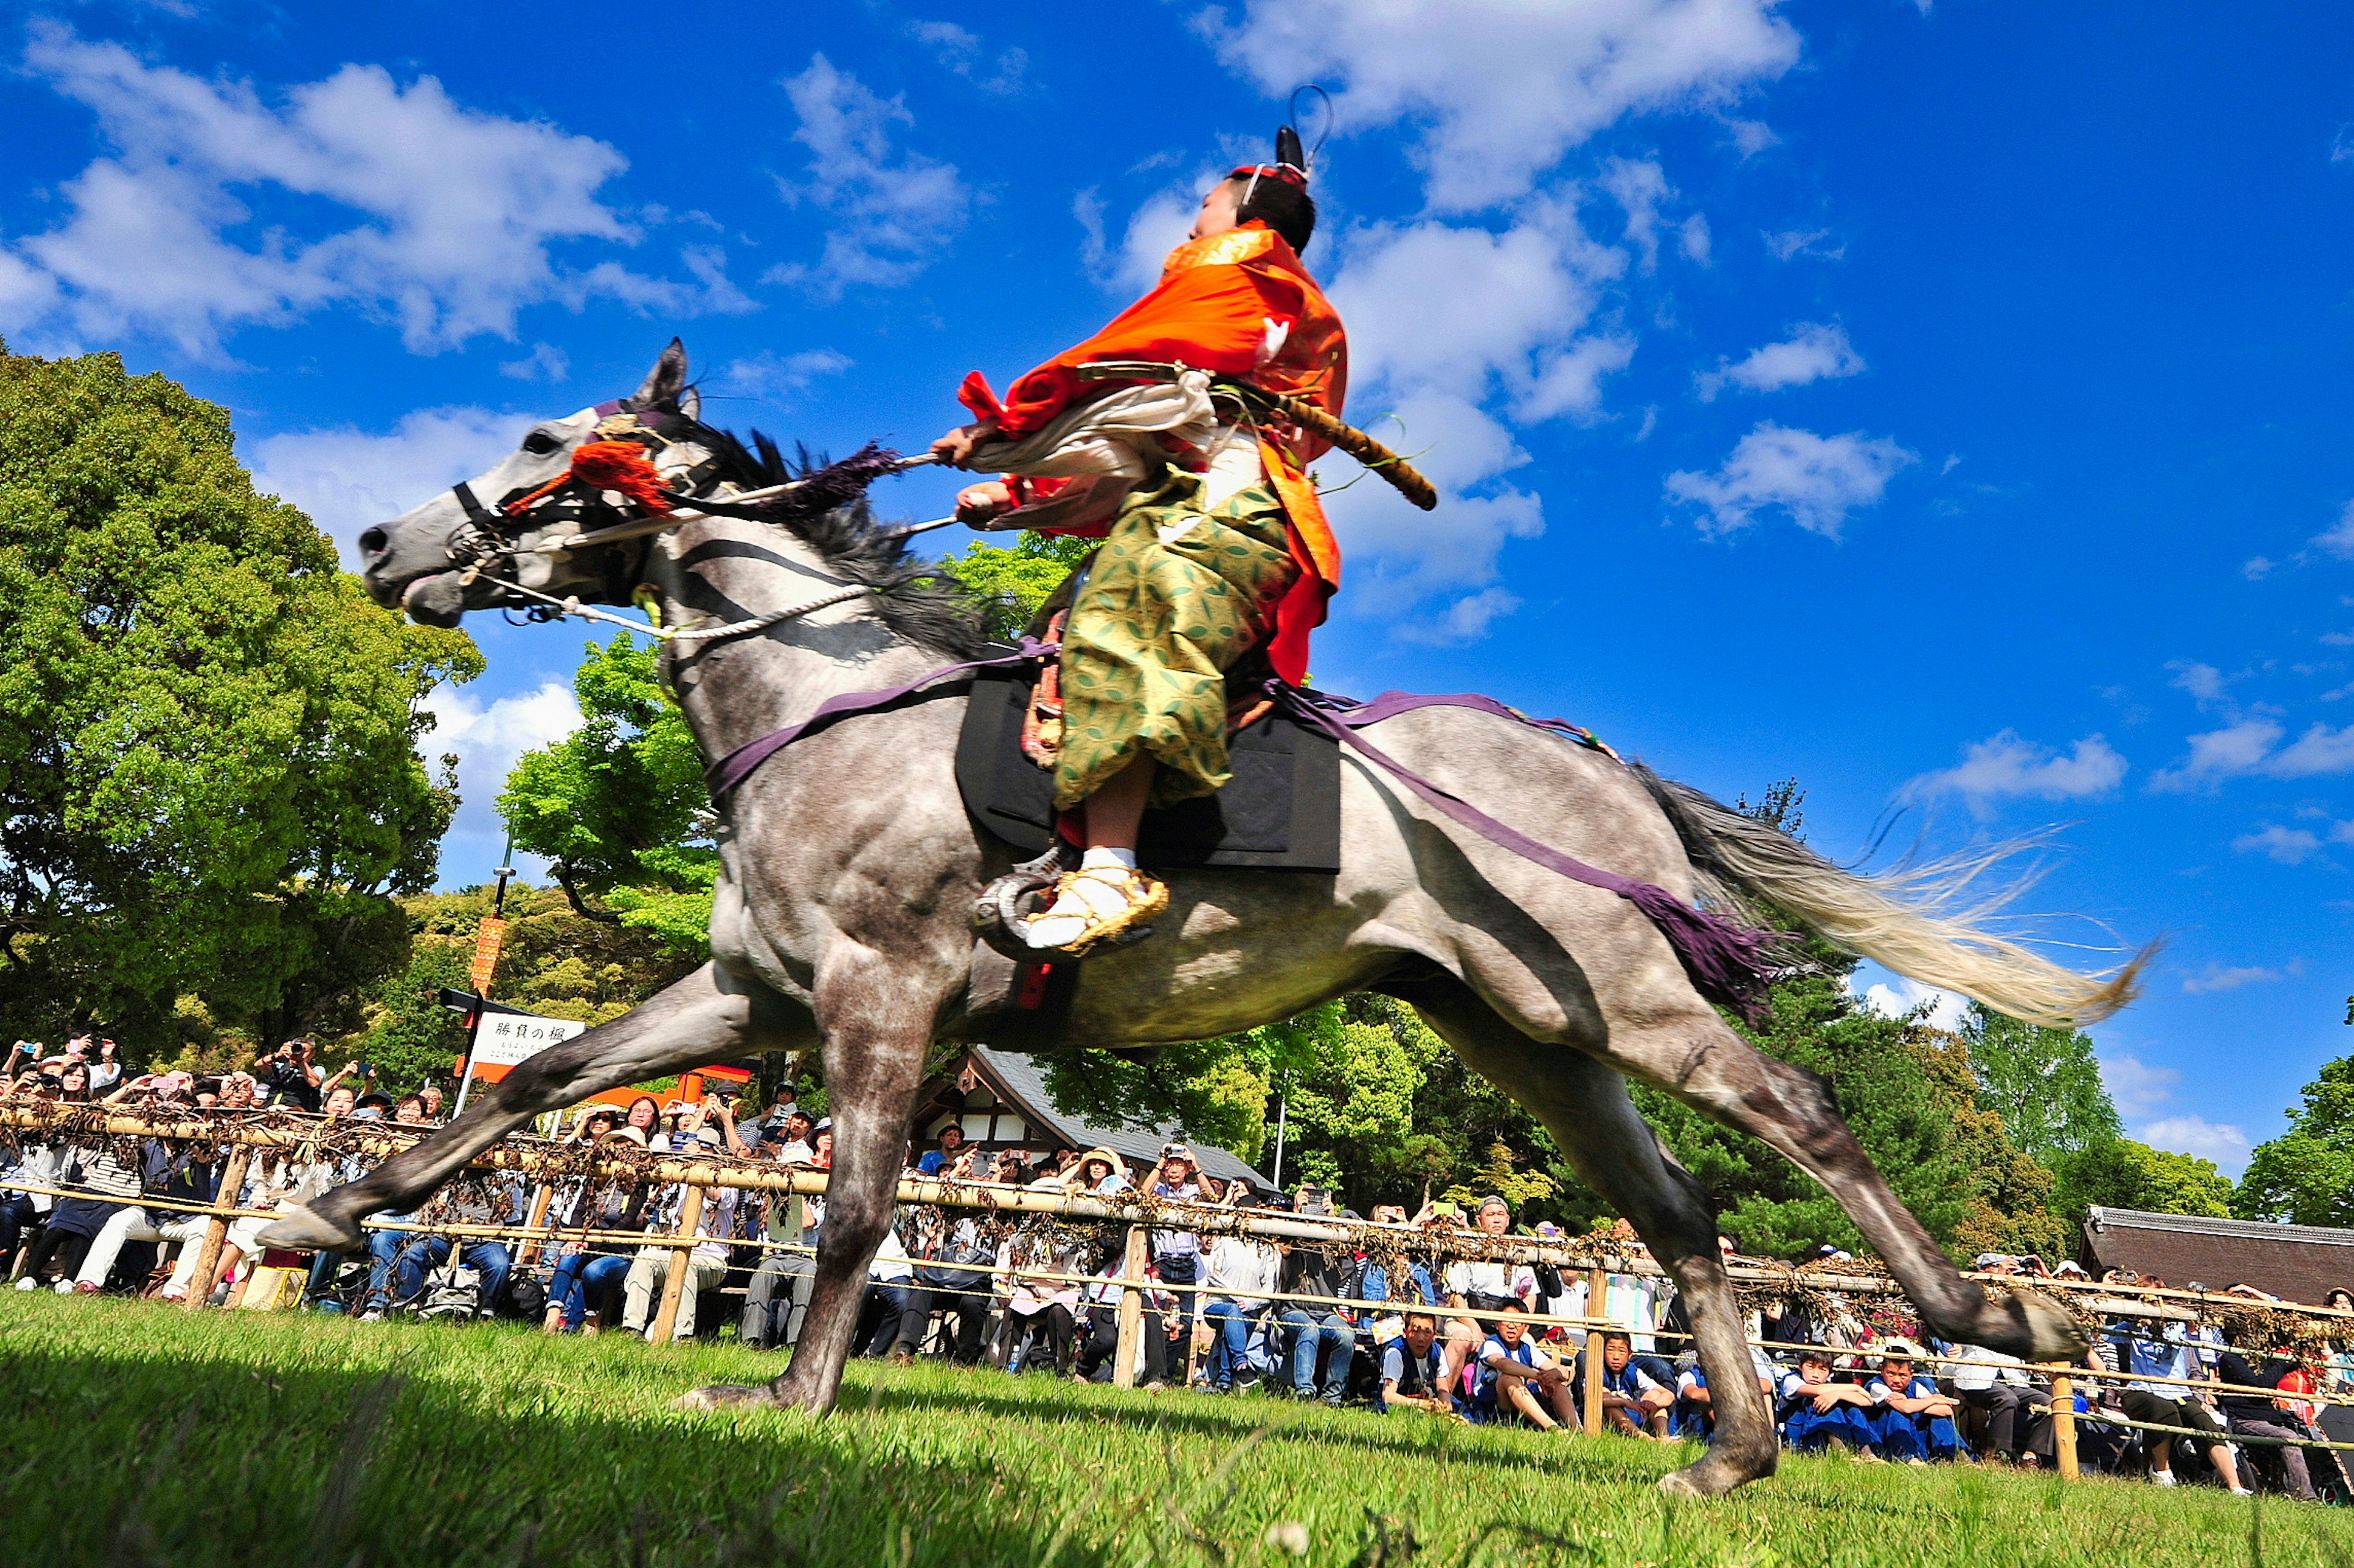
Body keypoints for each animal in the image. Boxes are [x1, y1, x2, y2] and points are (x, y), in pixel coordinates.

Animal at [267, 341, 2147, 1488]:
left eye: (537, 444)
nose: (383, 540)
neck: (832, 708)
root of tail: (1595, 761)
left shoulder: (881, 998)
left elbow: (860, 1202)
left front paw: (788, 1394)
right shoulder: (754, 994)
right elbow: (529, 1080)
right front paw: (316, 1213)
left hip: (1633, 996)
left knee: (1805, 1116)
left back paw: (2002, 1320)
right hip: (1533, 1032)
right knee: (1678, 1211)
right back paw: (1733, 1450)